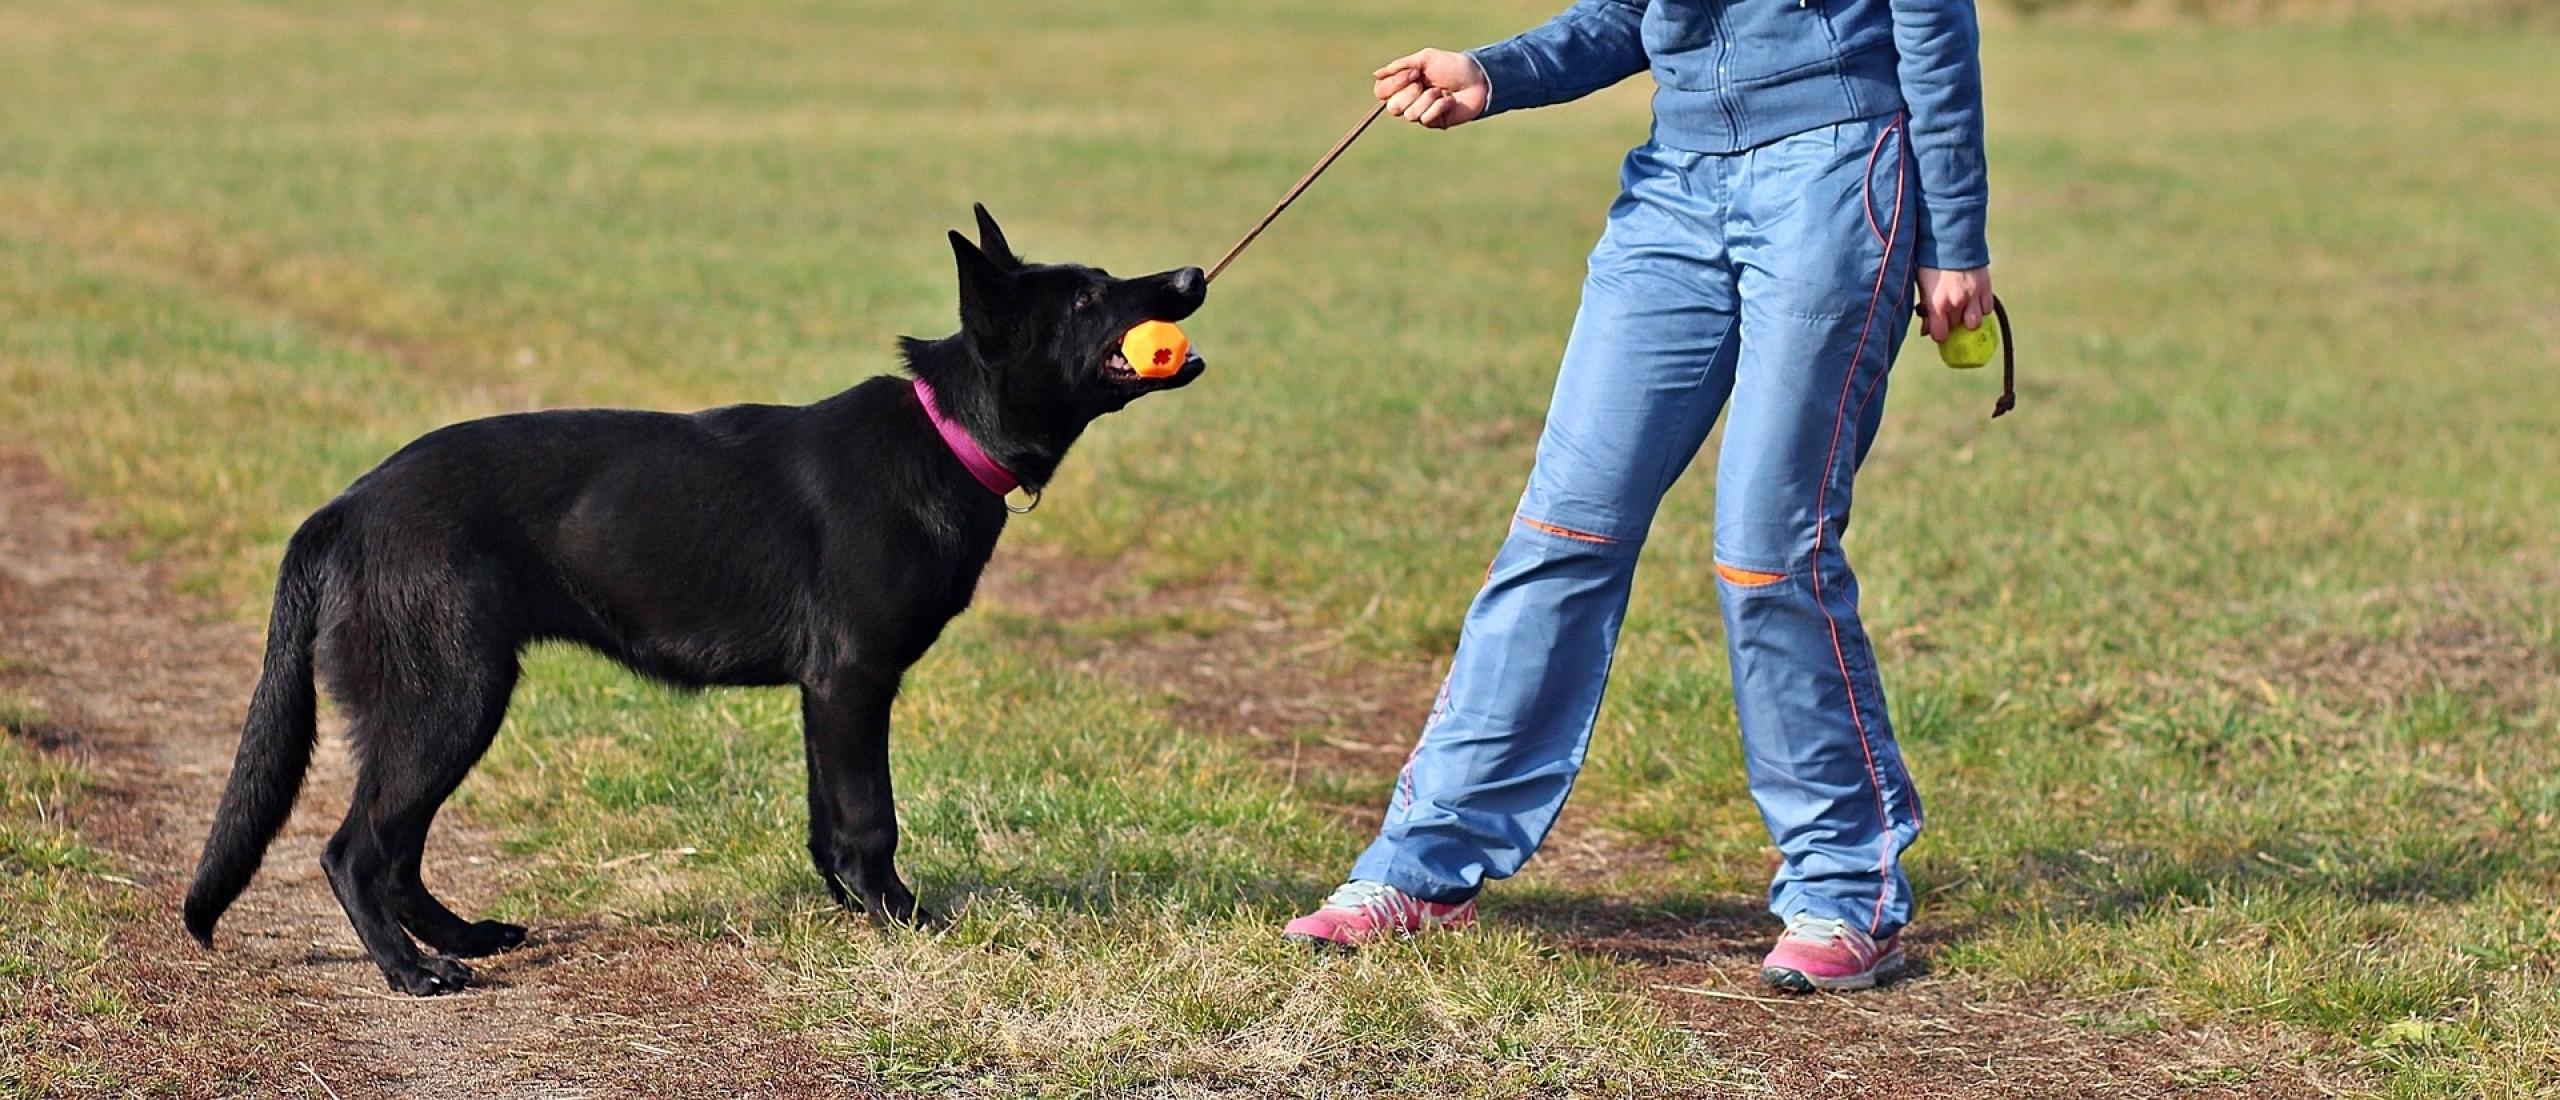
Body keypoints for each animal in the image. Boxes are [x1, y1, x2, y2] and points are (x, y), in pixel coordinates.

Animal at [185, 205, 1203, 997]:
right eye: (1086, 299)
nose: (1193, 274)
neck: (948, 431)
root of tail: (345, 507)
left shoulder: (825, 697)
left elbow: (829, 825)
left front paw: (854, 914)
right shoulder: (854, 683)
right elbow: (870, 819)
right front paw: (906, 923)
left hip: (447, 707)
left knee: (395, 853)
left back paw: (463, 938)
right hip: (448, 701)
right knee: (355, 851)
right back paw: (411, 971)